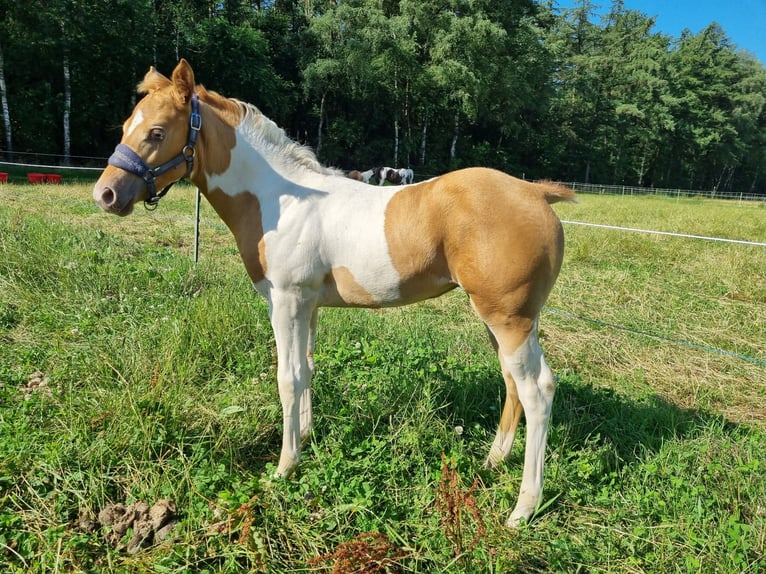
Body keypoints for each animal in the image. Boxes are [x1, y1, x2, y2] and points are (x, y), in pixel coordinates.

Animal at [93, 60, 572, 528]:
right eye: (125, 126)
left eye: (157, 132)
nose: (106, 194)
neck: (280, 201)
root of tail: (534, 191)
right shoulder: (307, 305)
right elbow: (306, 368)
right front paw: (304, 438)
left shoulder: (285, 302)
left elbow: (287, 377)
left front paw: (285, 467)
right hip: (504, 320)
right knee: (515, 382)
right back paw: (493, 461)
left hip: (508, 319)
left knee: (537, 391)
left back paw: (523, 508)